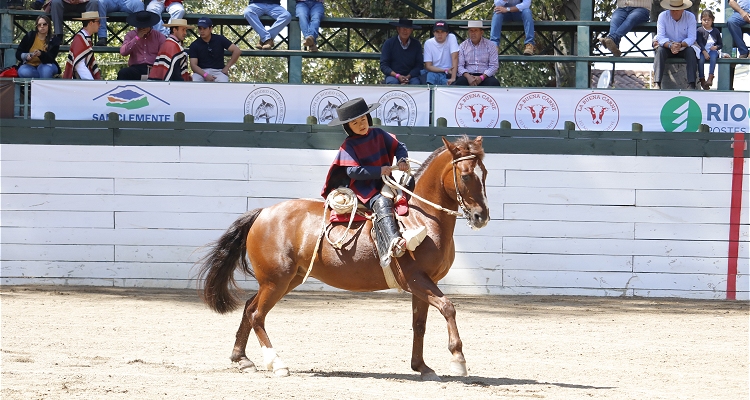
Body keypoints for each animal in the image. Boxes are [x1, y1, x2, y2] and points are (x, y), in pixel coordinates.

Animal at [198, 135, 494, 382]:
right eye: (466, 175)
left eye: (485, 173)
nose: (481, 216)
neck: (420, 217)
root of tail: (263, 213)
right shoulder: (415, 279)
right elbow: (448, 307)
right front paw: (458, 359)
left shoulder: (424, 283)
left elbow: (419, 324)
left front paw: (421, 367)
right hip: (275, 281)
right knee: (257, 314)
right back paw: (277, 363)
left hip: (285, 280)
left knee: (249, 308)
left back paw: (242, 359)